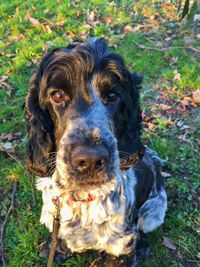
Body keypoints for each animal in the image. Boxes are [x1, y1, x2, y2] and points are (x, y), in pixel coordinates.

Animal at [24, 38, 167, 266]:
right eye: (57, 95)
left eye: (113, 95)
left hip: (153, 212)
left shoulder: (120, 247)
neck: (81, 197)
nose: (90, 160)